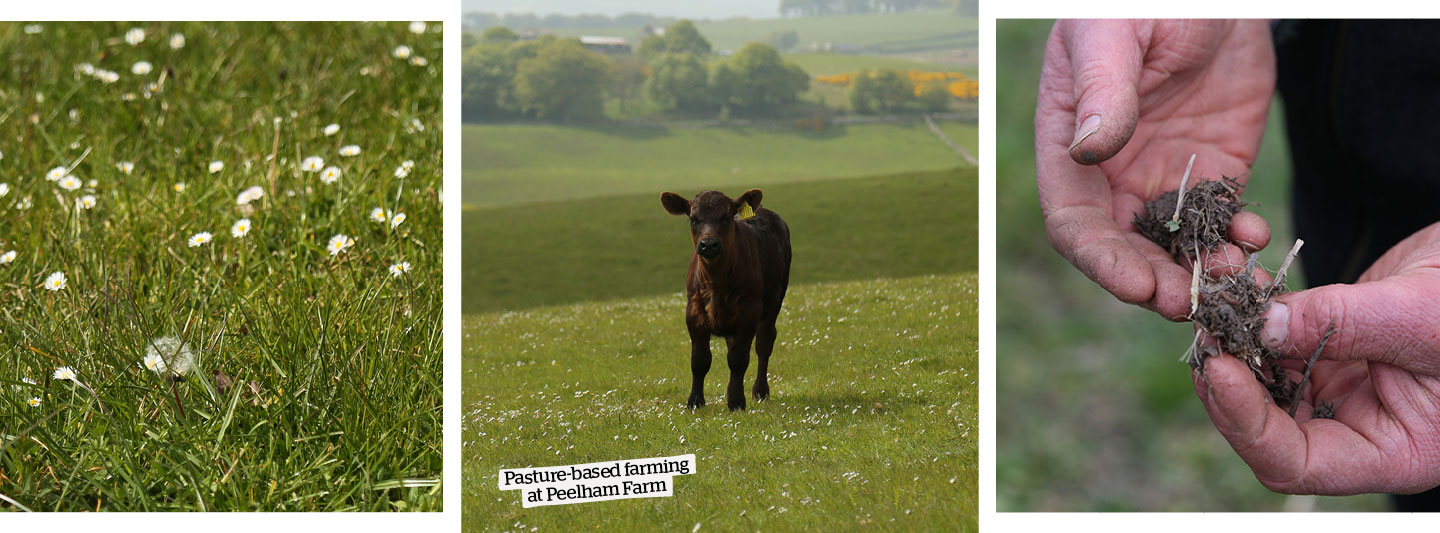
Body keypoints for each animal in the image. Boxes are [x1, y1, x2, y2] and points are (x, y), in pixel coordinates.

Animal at [659, 190, 794, 409]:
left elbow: (738, 358)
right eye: (693, 218)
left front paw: (737, 402)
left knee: (764, 343)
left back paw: (760, 390)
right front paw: (695, 401)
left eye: (726, 218)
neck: (716, 282)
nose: (708, 244)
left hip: (775, 301)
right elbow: (700, 360)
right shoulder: (693, 312)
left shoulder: (749, 311)